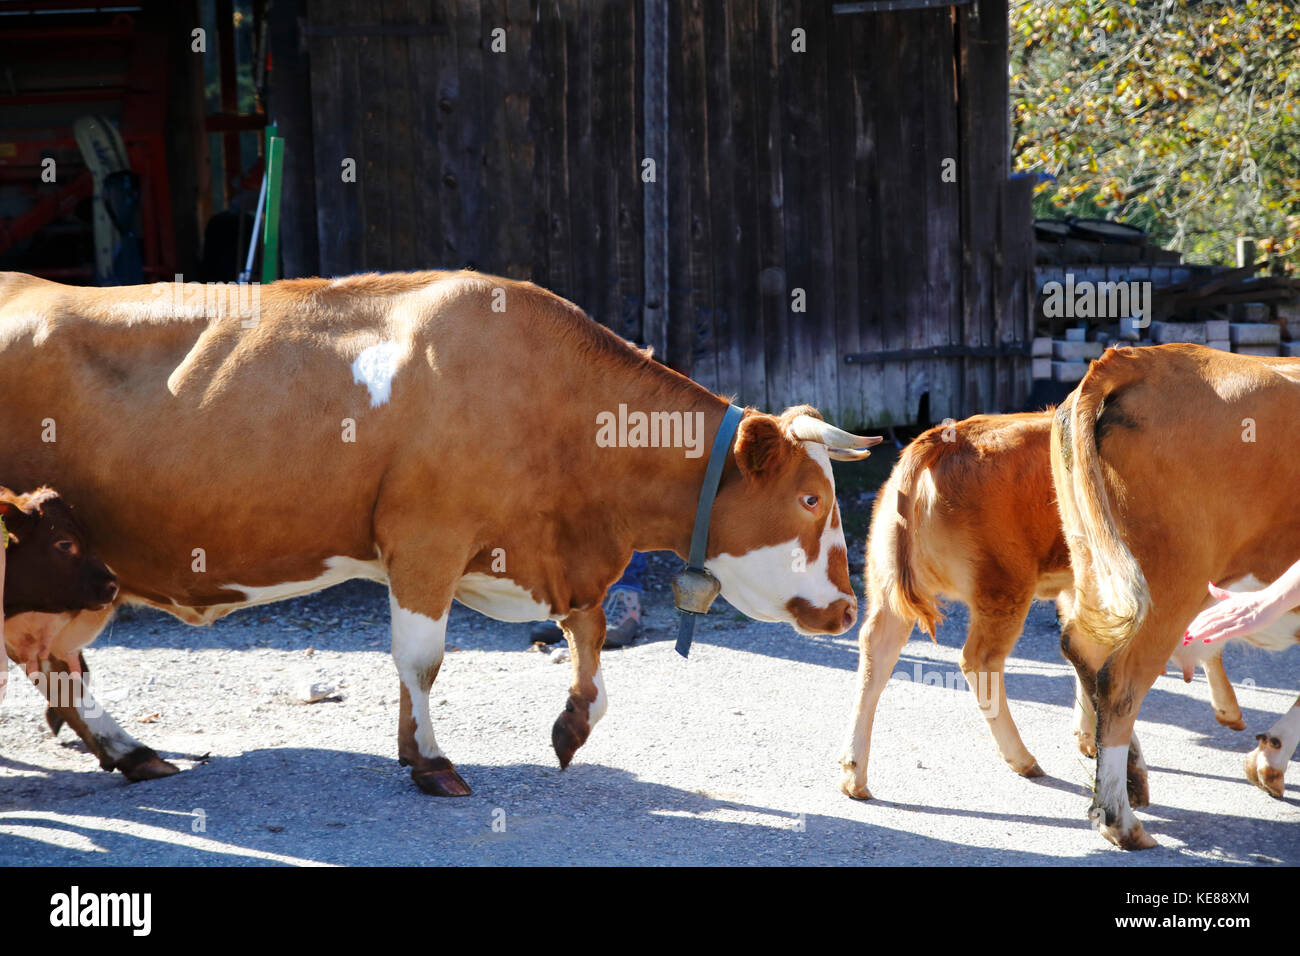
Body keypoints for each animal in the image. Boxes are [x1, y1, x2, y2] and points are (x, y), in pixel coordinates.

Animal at [0, 267, 878, 790]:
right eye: (811, 501)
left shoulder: (545, 555)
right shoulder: (425, 540)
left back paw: (128, 751)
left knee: (53, 660)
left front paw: (569, 723)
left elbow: (589, 636)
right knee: (53, 660)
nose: (846, 609)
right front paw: (430, 762)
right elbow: (422, 659)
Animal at [837, 411, 1242, 801]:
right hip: (1004, 589)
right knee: (978, 661)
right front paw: (1228, 708)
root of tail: (942, 438)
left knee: (876, 653)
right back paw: (1022, 758)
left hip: (887, 587)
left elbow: (1084, 649)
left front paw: (1088, 736)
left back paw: (854, 775)